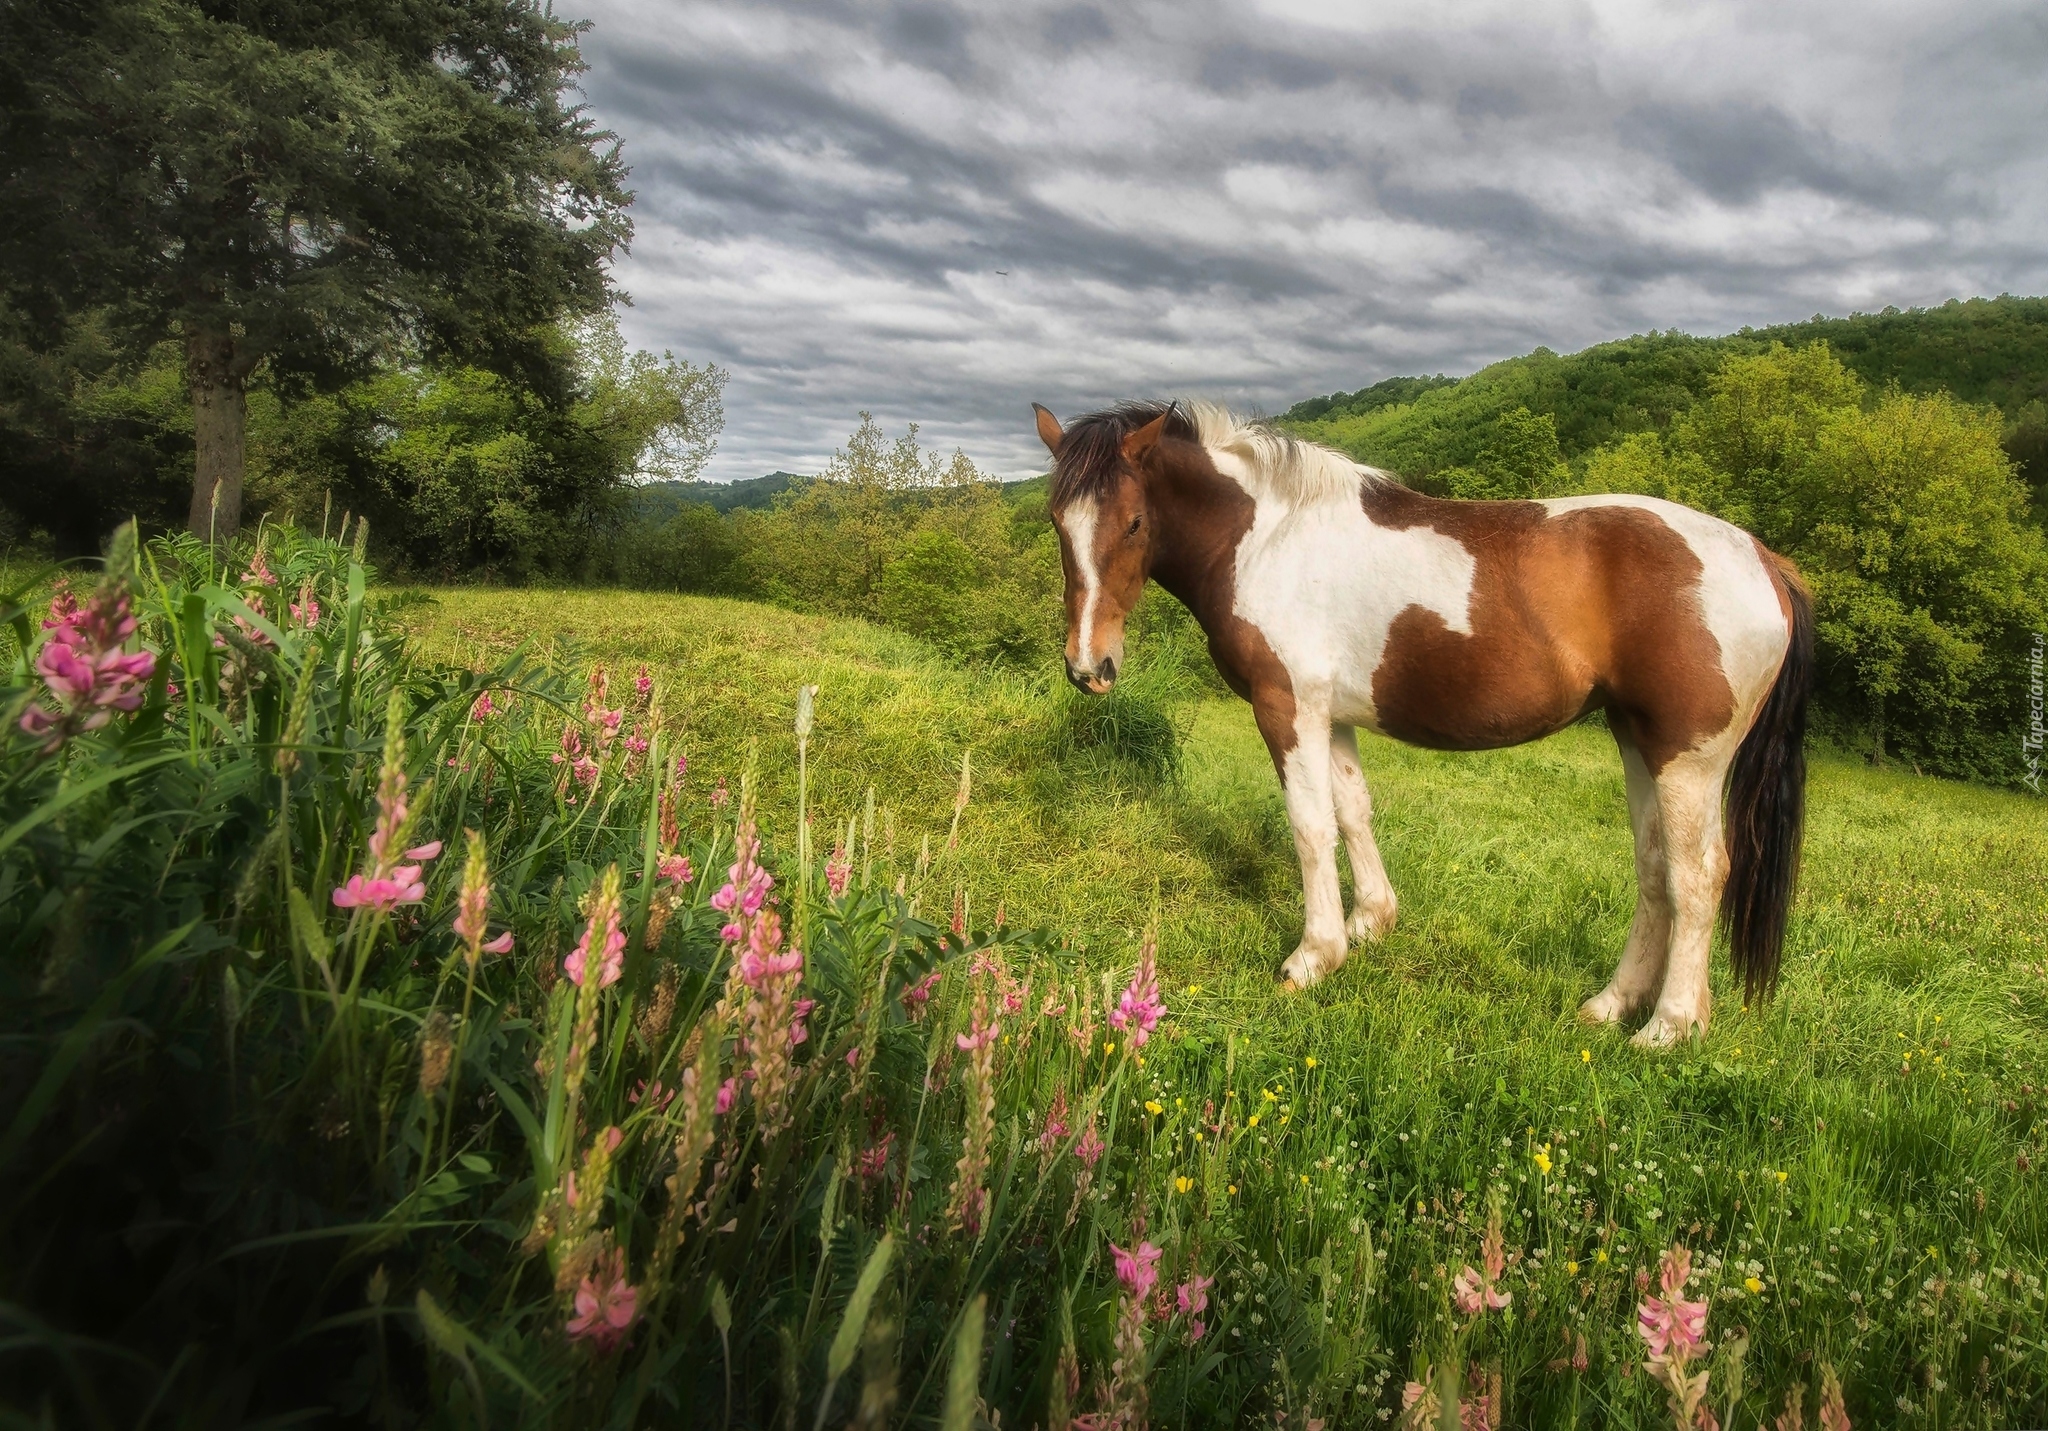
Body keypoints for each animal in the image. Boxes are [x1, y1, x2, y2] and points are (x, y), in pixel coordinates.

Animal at [1040, 397, 1810, 1048]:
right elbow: (1353, 811)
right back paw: (1611, 1005)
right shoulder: (1333, 714)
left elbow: (1311, 827)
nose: (1089, 666)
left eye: (1134, 522)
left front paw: (1314, 956)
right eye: (1057, 524)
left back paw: (1669, 1026)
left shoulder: (1287, 706)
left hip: (1689, 759)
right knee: (1655, 869)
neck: (1266, 537)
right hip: (1638, 741)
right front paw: (1371, 923)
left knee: (1697, 875)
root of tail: (1764, 560)